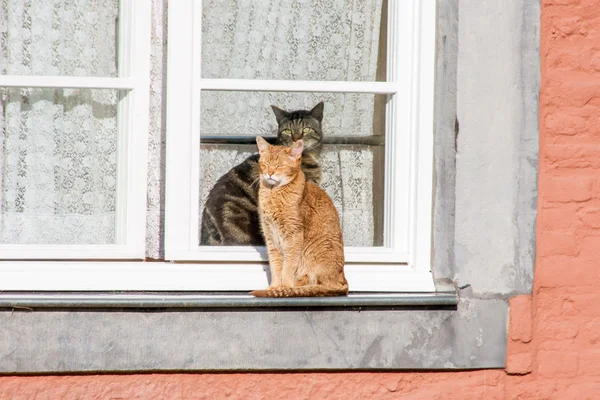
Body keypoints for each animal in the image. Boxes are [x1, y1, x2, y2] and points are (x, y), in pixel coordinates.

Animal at [251, 138, 350, 296]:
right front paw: (274, 287)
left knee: (322, 286)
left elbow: (288, 265)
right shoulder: (270, 236)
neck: (273, 194)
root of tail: (344, 282)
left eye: (280, 165)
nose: (269, 173)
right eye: (265, 164)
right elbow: (275, 265)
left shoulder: (294, 236)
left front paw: (284, 287)